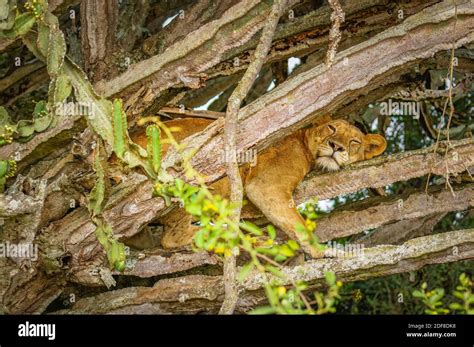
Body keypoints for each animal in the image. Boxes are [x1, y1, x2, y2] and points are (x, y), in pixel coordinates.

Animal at [129, 117, 386, 258]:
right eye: (332, 129)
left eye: (354, 142)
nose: (336, 147)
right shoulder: (266, 186)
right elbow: (298, 224)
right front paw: (321, 251)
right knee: (172, 238)